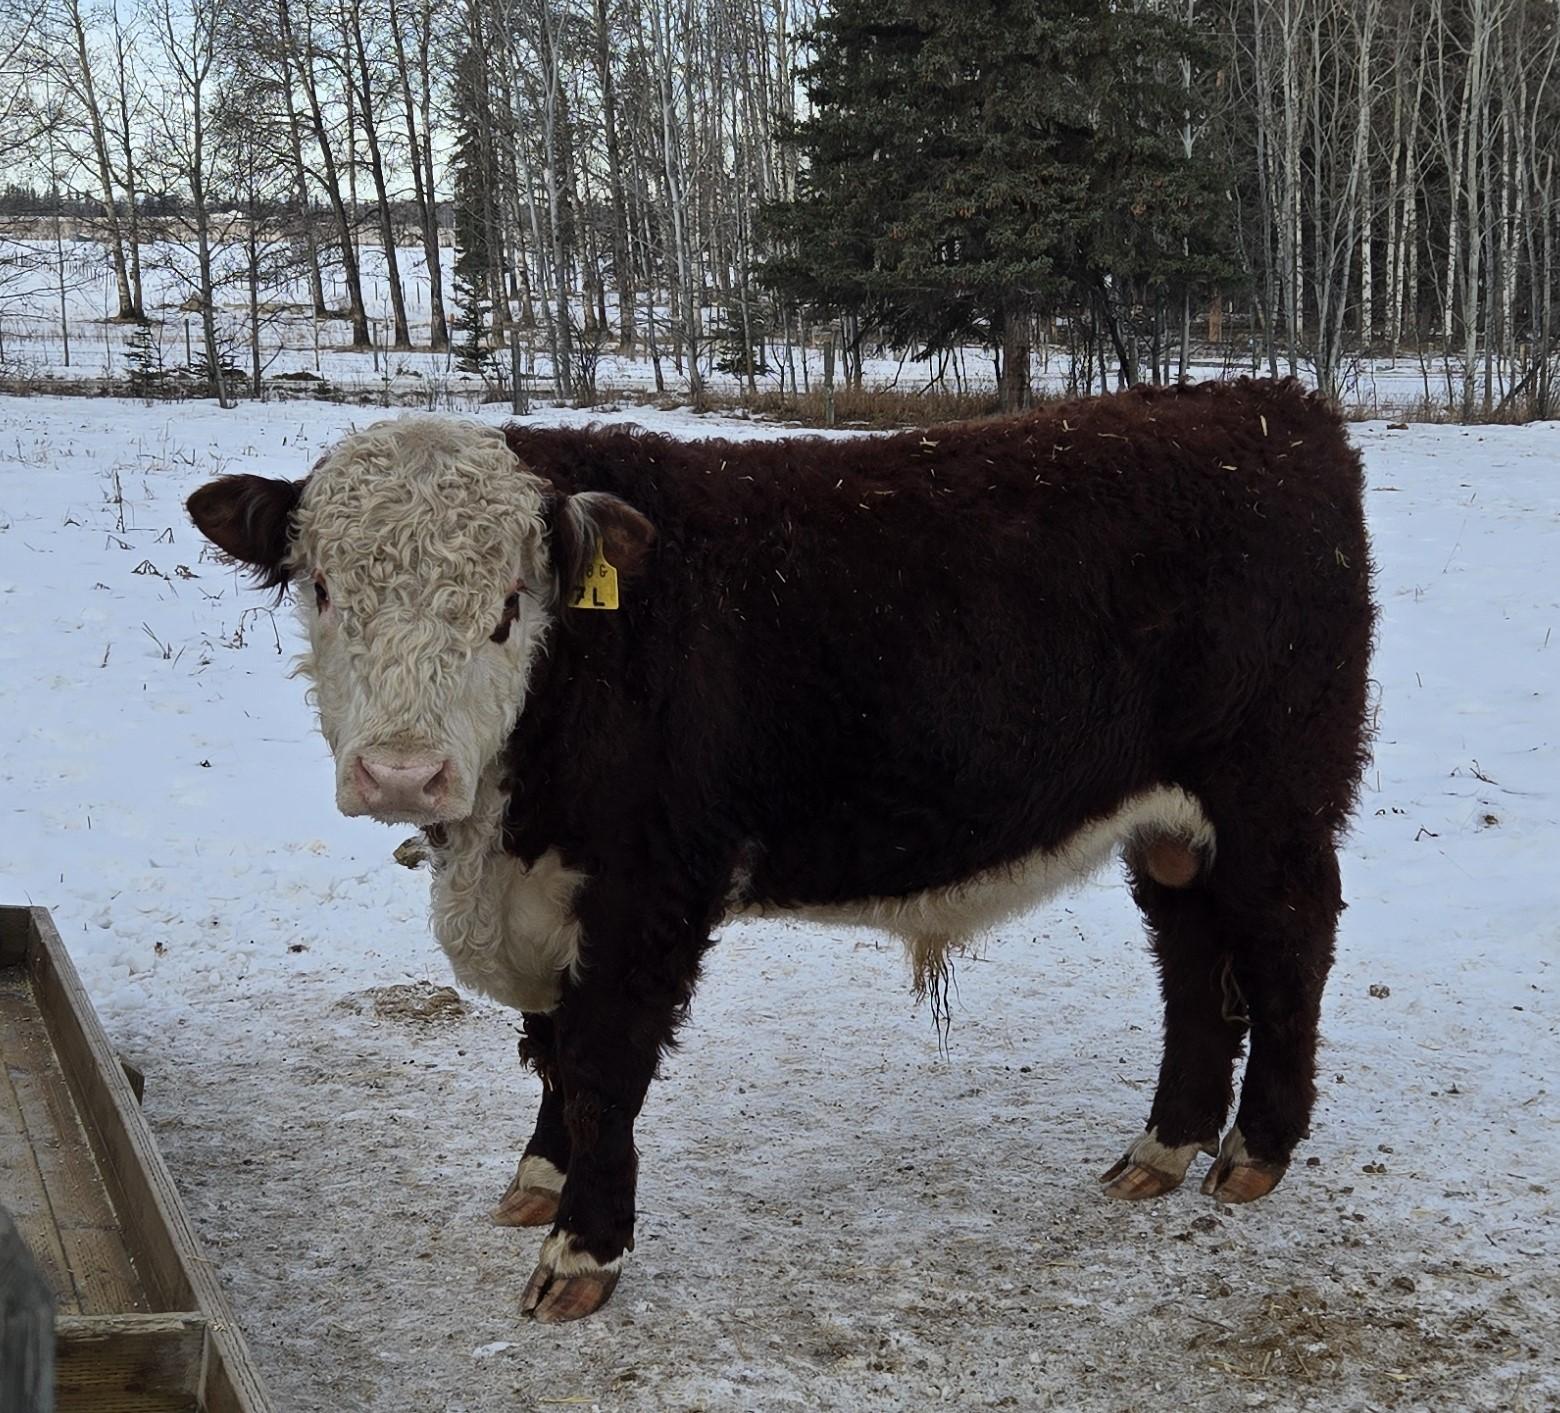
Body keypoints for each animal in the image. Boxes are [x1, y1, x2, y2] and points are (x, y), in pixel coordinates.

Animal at [185, 377, 1379, 1322]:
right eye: (324, 587)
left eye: (509, 604)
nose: (402, 773)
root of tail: (1271, 405)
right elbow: (553, 1047)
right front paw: (539, 1177)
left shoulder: (651, 891)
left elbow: (601, 1066)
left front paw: (582, 1252)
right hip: (1170, 828)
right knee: (1193, 963)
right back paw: (1164, 1146)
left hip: (1275, 799)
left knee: (1290, 950)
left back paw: (1256, 1151)